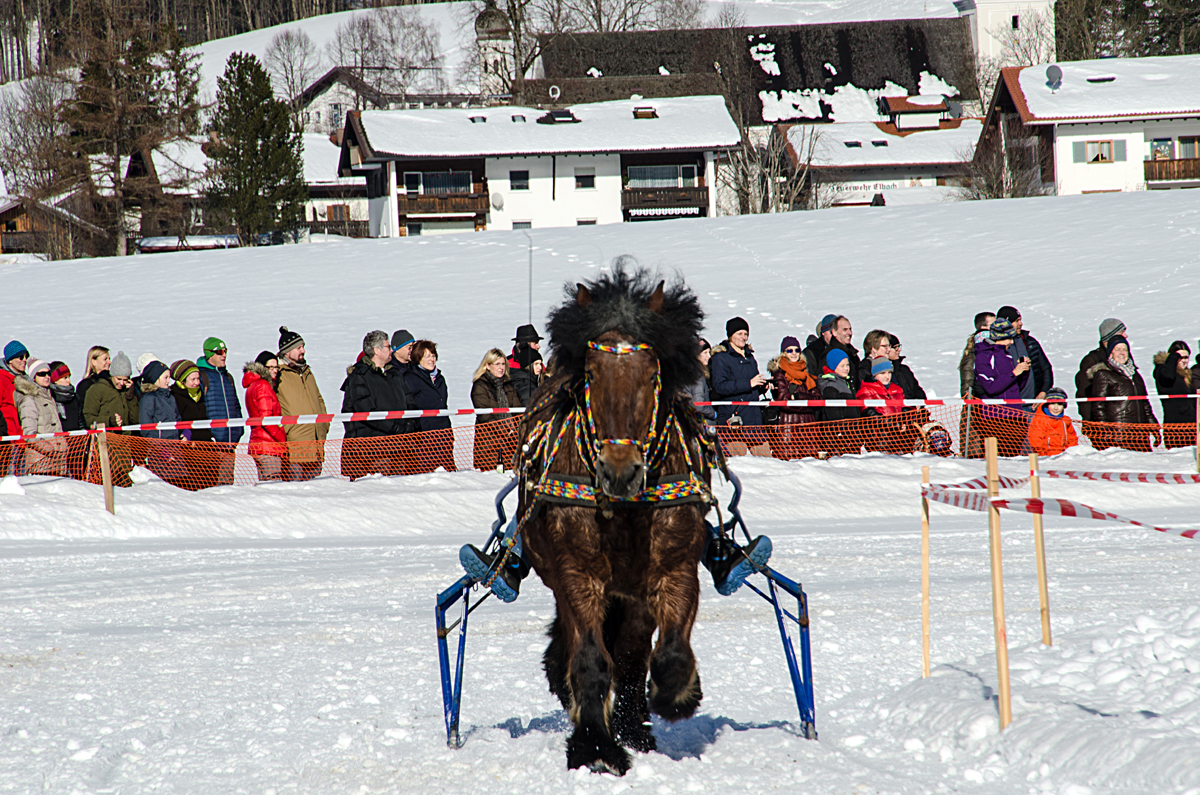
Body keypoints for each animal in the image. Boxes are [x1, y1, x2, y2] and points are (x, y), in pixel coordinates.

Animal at [516, 264, 710, 773]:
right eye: (591, 372)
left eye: (652, 372)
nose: (619, 470)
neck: (624, 508)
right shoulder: (576, 573)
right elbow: (589, 659)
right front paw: (595, 746)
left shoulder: (675, 568)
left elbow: (667, 655)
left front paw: (675, 696)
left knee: (632, 653)